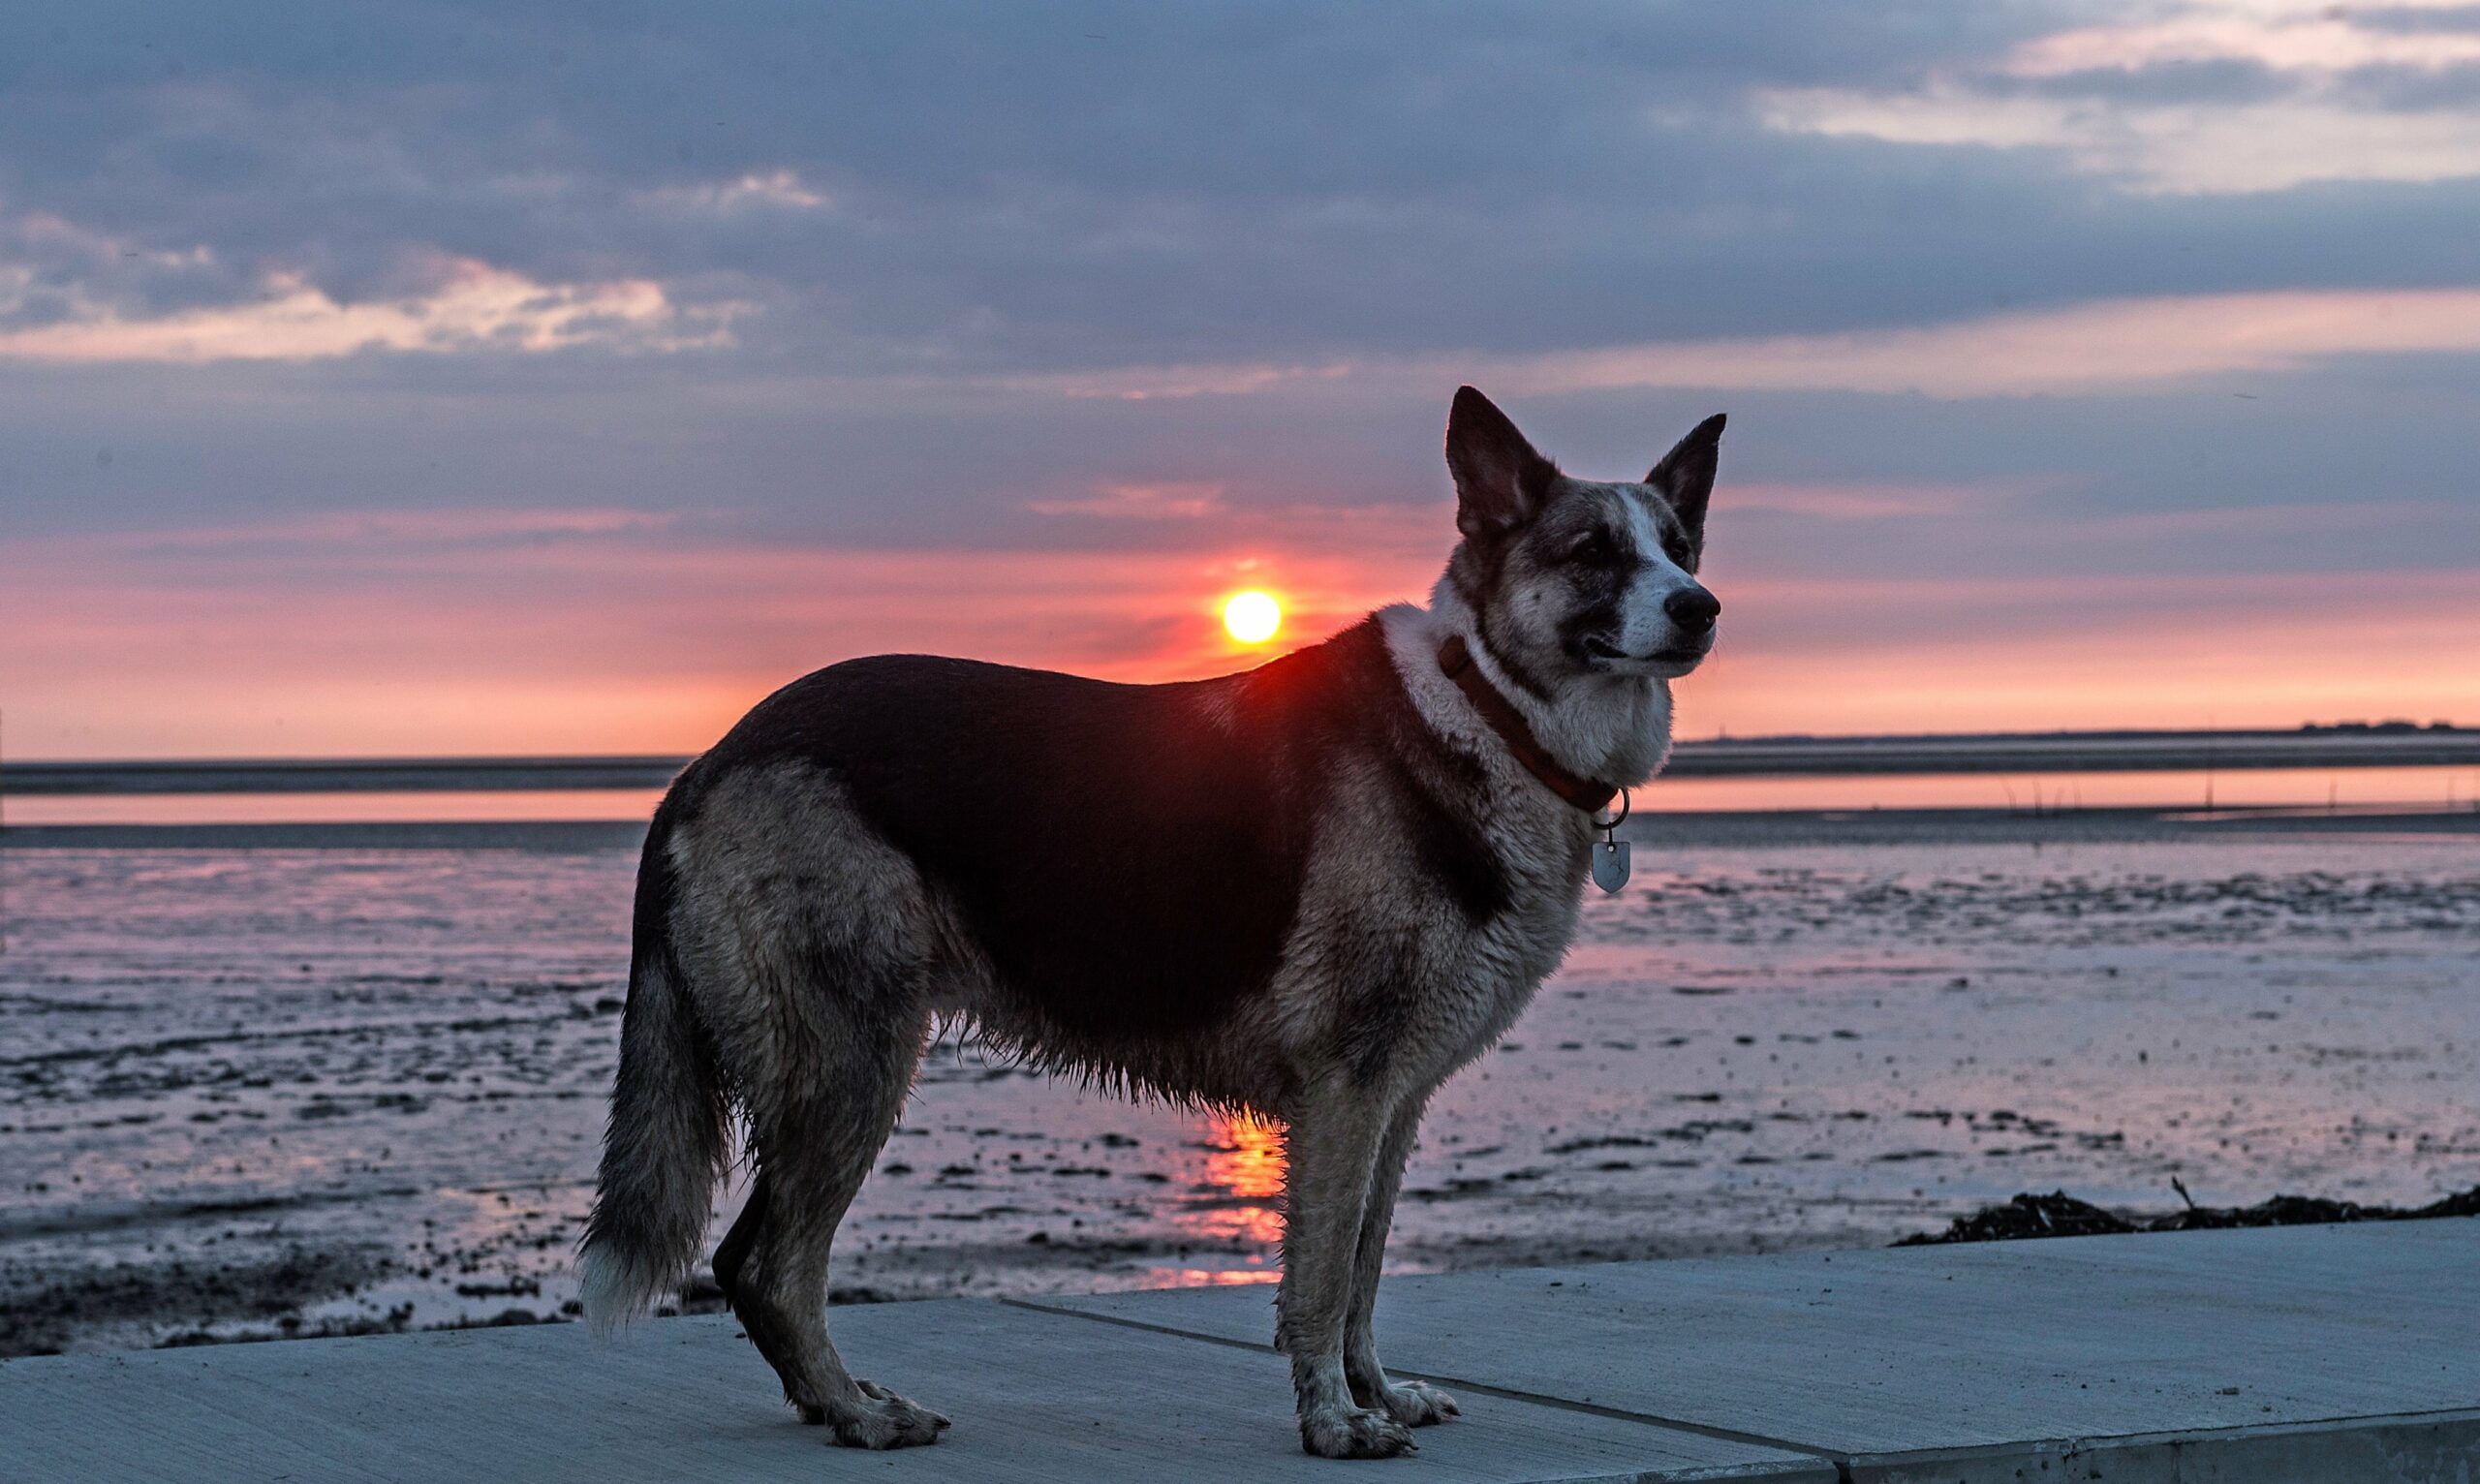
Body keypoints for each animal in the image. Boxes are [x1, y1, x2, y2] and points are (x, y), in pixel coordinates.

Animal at [574, 386, 1725, 1469]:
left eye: (1679, 546)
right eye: (1591, 551)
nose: (1702, 607)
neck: (1488, 707)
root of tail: (709, 761)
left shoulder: (1393, 1100)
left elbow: (1363, 1269)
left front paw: (1374, 1393)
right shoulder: (1346, 1088)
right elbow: (1318, 1279)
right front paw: (1330, 1422)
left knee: (755, 1263)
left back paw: (831, 1404)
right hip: (856, 1061)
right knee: (770, 1263)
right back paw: (856, 1413)